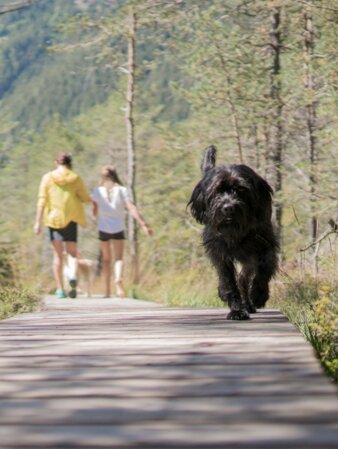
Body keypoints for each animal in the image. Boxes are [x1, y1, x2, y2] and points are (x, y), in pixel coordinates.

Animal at [189, 146, 278, 318]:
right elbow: (228, 280)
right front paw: (236, 310)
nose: (228, 207)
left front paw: (259, 294)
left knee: (244, 279)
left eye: (241, 190)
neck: (236, 231)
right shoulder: (220, 253)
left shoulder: (266, 244)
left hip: (249, 259)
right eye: (217, 191)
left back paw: (249, 303)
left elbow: (264, 267)